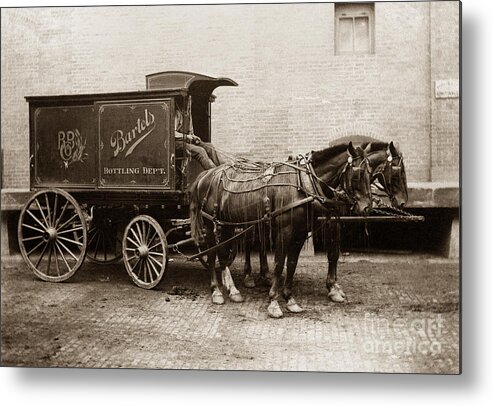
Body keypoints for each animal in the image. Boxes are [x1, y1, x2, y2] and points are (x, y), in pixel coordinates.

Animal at [190, 142, 370, 318]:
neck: (302, 184)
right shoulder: (285, 232)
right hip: (209, 223)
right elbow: (278, 264)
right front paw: (274, 302)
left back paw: (233, 290)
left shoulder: (300, 234)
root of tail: (205, 175)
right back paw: (216, 291)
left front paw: (290, 300)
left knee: (222, 254)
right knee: (211, 255)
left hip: (228, 224)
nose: (367, 207)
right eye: (358, 174)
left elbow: (291, 264)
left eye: (370, 173)